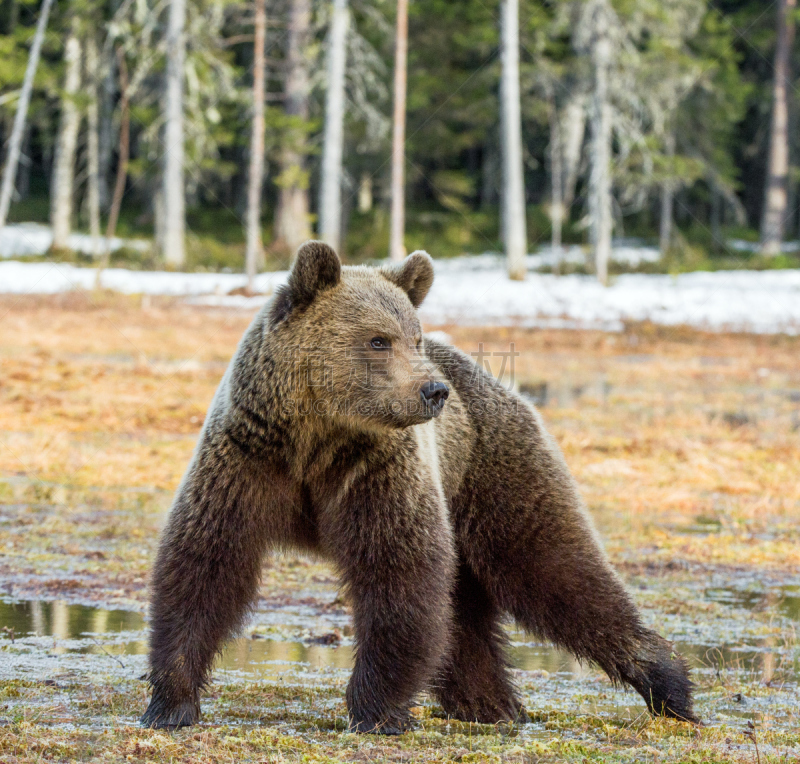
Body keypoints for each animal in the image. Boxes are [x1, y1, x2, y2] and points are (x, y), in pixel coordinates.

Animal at [141, 243, 696, 736]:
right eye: (378, 340)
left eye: (415, 336)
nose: (434, 391)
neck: (316, 438)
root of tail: (502, 387)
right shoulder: (248, 459)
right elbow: (206, 564)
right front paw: (170, 702)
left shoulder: (376, 470)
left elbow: (399, 574)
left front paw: (376, 709)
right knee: (468, 613)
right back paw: (489, 703)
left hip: (491, 475)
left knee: (553, 570)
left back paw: (668, 685)